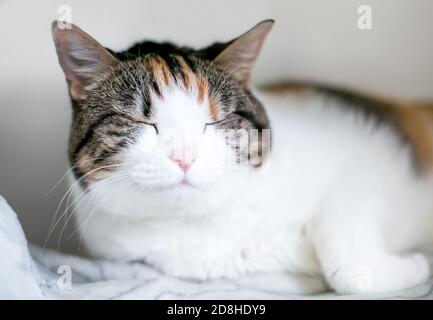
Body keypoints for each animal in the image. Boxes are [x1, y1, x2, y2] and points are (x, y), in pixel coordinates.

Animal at [51, 19, 432, 296]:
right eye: (142, 122)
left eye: (213, 121)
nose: (184, 157)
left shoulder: (363, 168)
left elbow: (349, 266)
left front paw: (416, 264)